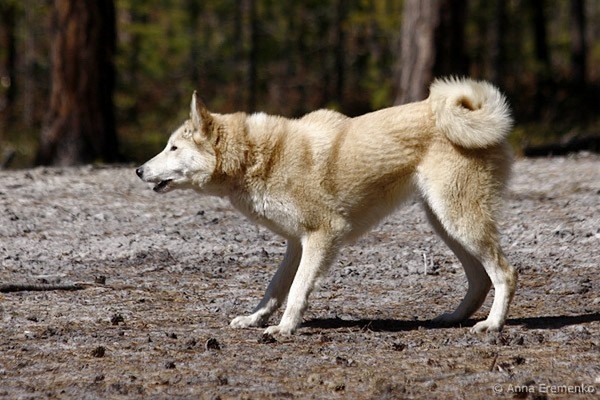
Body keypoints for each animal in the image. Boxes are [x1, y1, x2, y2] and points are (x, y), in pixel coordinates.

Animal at [136, 77, 516, 336]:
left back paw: (492, 325)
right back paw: (453, 319)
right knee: (480, 280)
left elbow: (297, 290)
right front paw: (254, 319)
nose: (138, 170)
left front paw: (284, 329)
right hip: (445, 224)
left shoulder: (323, 235)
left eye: (173, 148)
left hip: (458, 220)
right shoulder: (296, 243)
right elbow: (275, 289)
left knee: (504, 274)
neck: (258, 156)